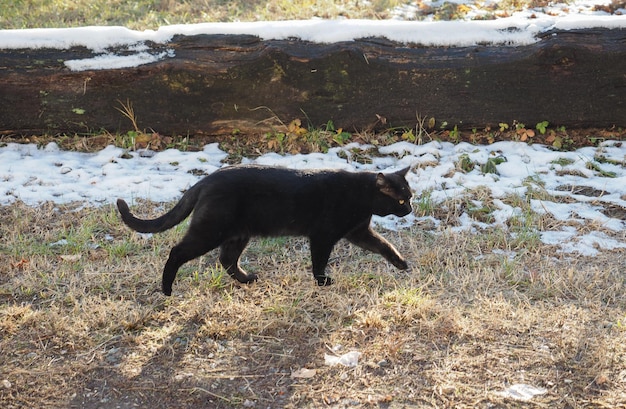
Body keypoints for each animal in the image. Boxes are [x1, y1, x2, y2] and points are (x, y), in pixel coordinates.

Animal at [116, 164, 410, 294]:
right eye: (400, 200)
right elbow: (319, 261)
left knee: (226, 259)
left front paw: (401, 263)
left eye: (410, 197)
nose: (409, 210)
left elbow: (384, 245)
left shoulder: (359, 232)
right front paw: (321, 281)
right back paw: (166, 289)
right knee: (176, 251)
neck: (361, 196)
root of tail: (205, 180)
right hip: (210, 231)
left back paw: (247, 279)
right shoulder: (323, 236)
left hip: (238, 234)